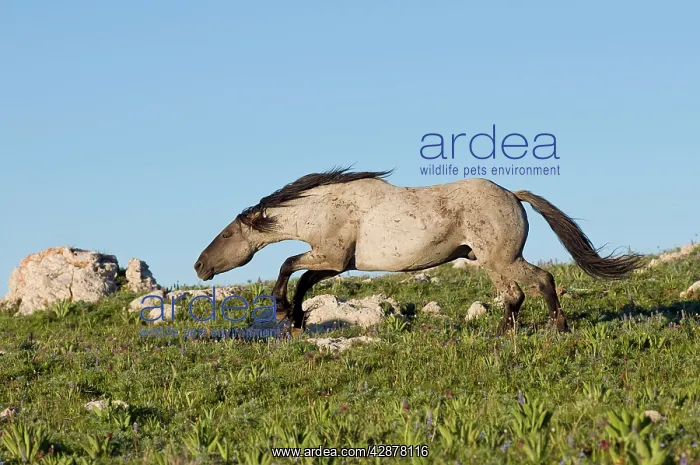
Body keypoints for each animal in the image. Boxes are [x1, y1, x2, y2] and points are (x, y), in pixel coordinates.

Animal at [194, 167, 644, 334]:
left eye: (226, 235)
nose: (199, 266)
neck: (324, 207)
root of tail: (513, 195)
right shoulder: (339, 263)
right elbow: (303, 278)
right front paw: (297, 319)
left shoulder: (332, 256)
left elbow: (288, 266)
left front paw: (285, 312)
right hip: (492, 260)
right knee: (518, 293)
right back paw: (507, 332)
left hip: (499, 259)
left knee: (535, 284)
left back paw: (553, 327)